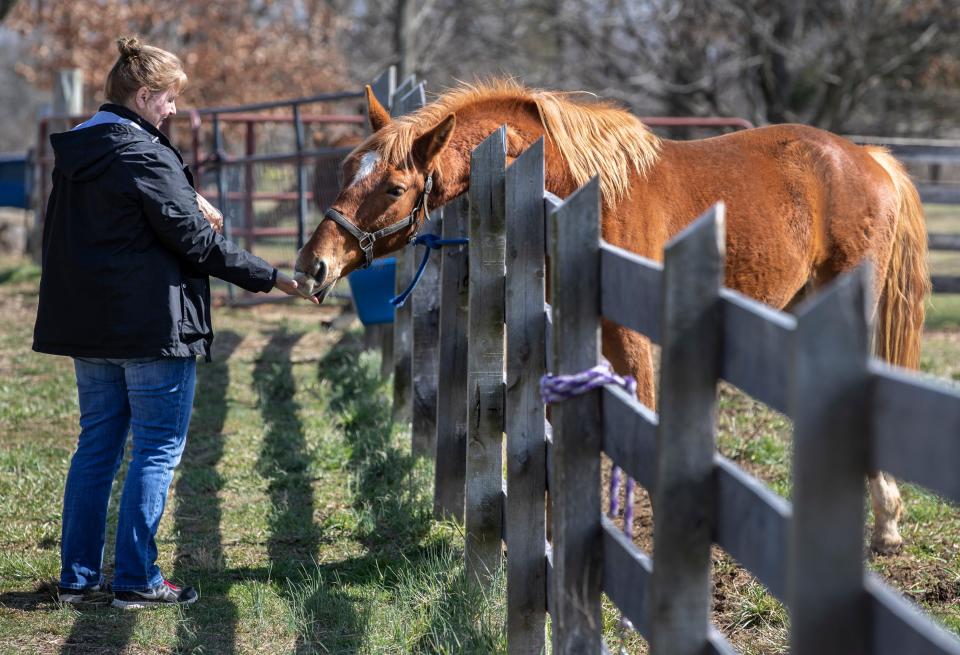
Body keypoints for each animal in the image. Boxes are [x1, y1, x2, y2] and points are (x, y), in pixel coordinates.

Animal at [294, 79, 928, 556]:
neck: (583, 190)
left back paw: (884, 521)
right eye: (347, 168)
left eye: (394, 187)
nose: (311, 266)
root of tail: (867, 157)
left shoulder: (632, 337)